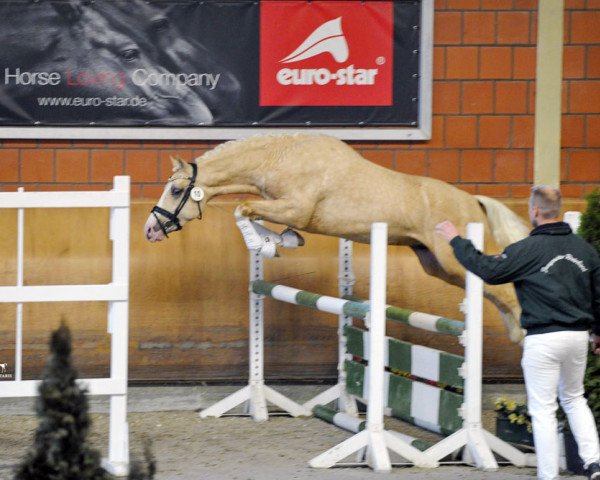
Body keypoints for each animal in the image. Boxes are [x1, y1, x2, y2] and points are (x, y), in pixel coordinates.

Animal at [145, 133, 528, 344]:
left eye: (176, 190)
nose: (150, 229)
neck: (280, 159)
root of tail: (474, 201)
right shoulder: (282, 208)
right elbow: (252, 214)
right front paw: (281, 242)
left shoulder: (296, 208)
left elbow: (243, 210)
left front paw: (265, 244)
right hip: (438, 265)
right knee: (493, 292)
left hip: (452, 259)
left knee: (505, 291)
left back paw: (523, 338)